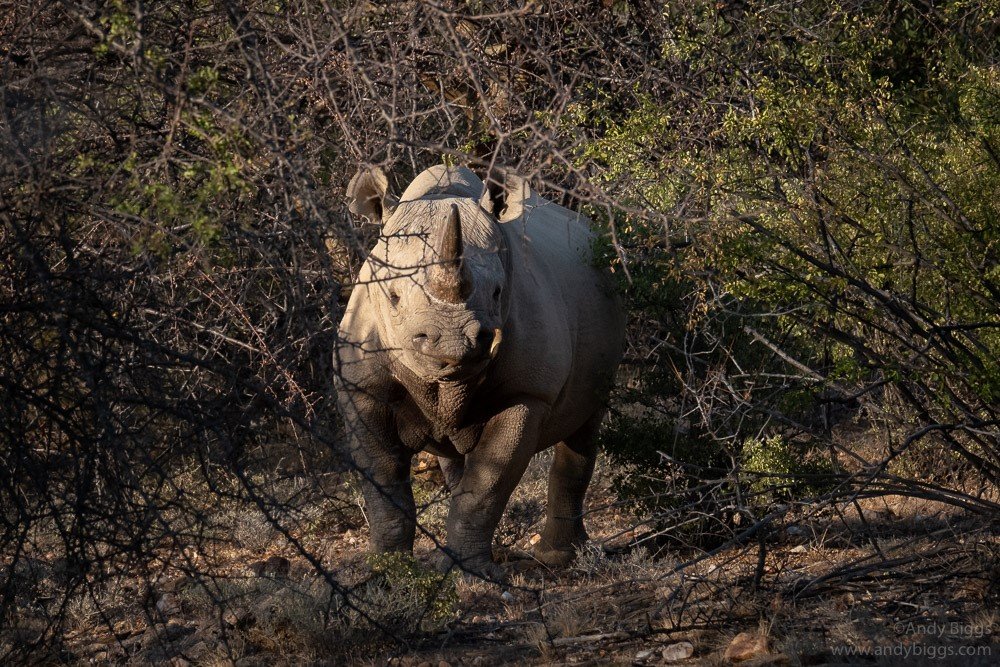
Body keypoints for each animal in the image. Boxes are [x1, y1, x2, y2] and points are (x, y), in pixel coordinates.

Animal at [334, 164, 625, 579]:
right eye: (393, 297)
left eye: (498, 292)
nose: (454, 344)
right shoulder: (360, 387)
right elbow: (383, 482)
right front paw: (385, 571)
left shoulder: (527, 393)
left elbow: (488, 485)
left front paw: (472, 576)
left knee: (584, 429)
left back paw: (559, 558)